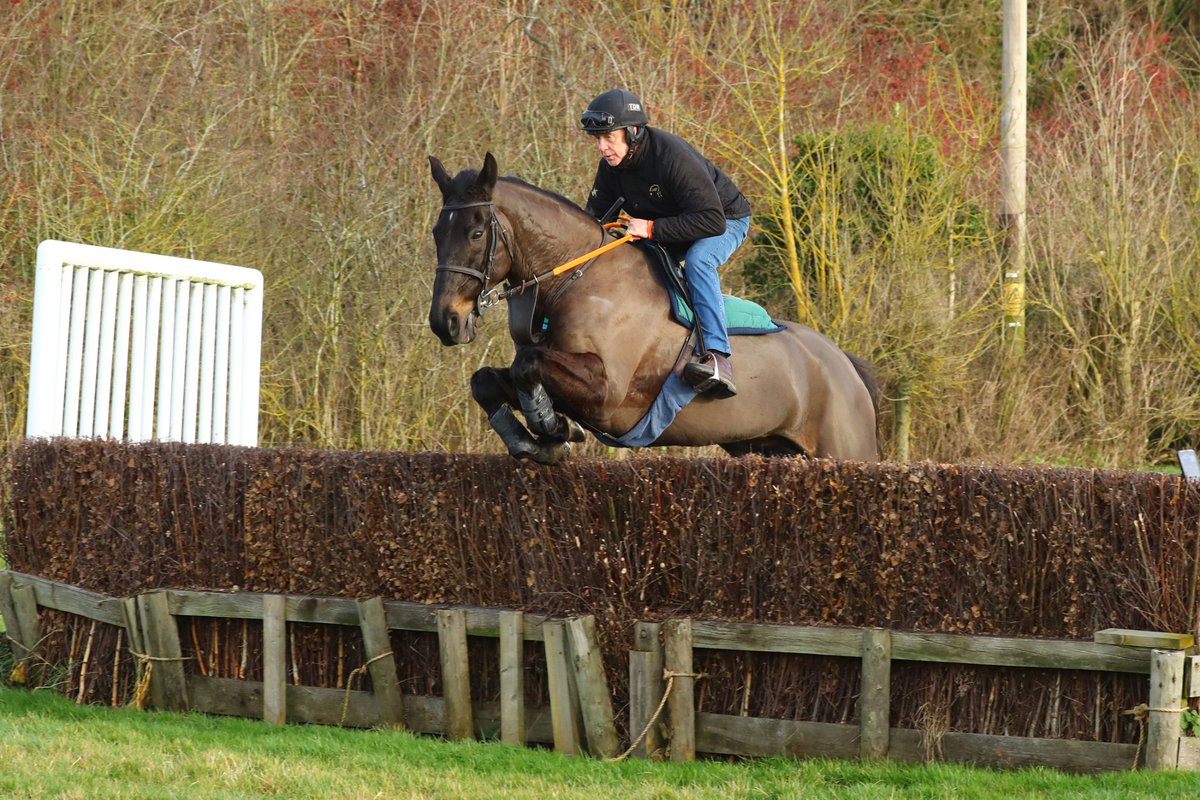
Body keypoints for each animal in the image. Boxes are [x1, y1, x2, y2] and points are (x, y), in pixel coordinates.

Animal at [428, 152, 880, 465]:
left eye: (475, 233)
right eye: (436, 232)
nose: (445, 322)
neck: (575, 279)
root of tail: (845, 365)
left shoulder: (607, 394)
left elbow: (529, 366)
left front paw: (551, 426)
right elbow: (488, 380)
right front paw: (537, 438)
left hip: (845, 450)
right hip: (770, 447)